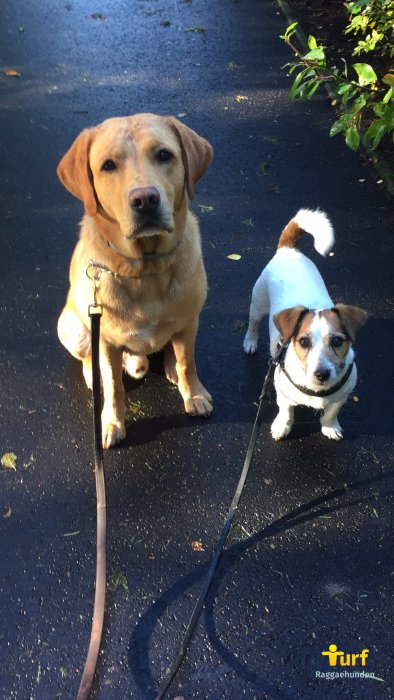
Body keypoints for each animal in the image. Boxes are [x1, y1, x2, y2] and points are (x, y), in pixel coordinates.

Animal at [56, 113, 212, 446]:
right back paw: (94, 376)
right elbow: (115, 385)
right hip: (71, 326)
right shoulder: (104, 340)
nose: (145, 199)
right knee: (90, 359)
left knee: (172, 348)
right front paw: (112, 422)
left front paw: (193, 393)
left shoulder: (190, 322)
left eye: (164, 155)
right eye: (108, 165)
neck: (144, 268)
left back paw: (168, 365)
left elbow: (187, 362)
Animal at [242, 208, 368, 440]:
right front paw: (282, 426)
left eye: (337, 341)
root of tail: (288, 249)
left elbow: (331, 413)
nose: (321, 374)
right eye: (303, 342)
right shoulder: (282, 391)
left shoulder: (342, 397)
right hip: (259, 303)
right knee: (253, 323)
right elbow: (286, 411)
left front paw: (330, 427)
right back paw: (250, 342)